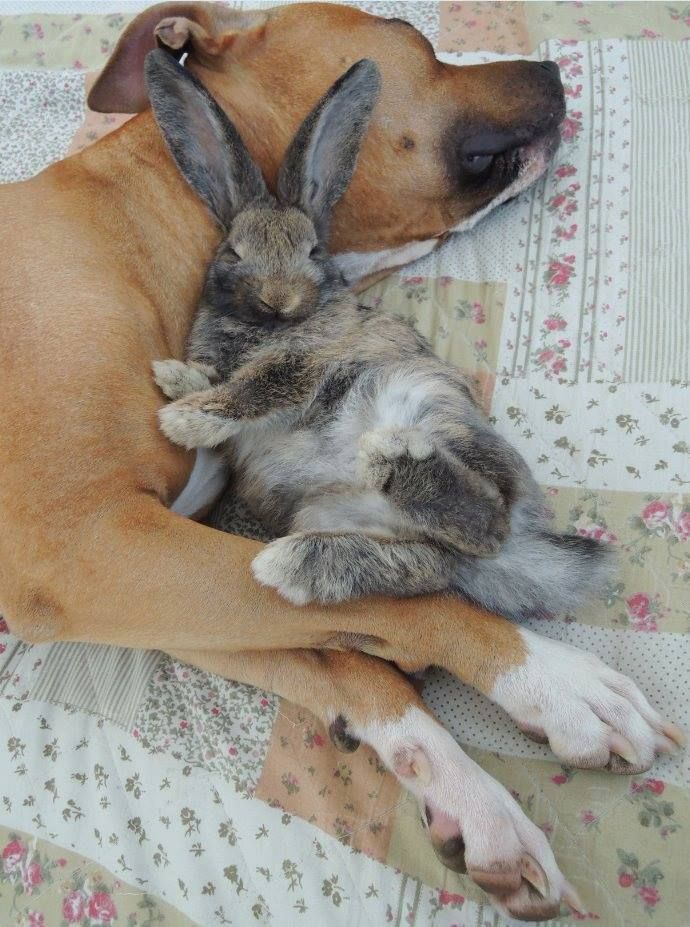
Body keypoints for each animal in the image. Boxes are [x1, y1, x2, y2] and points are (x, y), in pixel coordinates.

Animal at [145, 49, 608, 616]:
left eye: (314, 250)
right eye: (232, 252)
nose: (279, 299)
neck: (267, 325)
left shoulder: (307, 362)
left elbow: (257, 387)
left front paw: (182, 420)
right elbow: (218, 381)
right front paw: (175, 378)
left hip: (424, 401)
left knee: (489, 522)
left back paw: (390, 464)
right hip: (331, 514)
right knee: (426, 561)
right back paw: (298, 565)